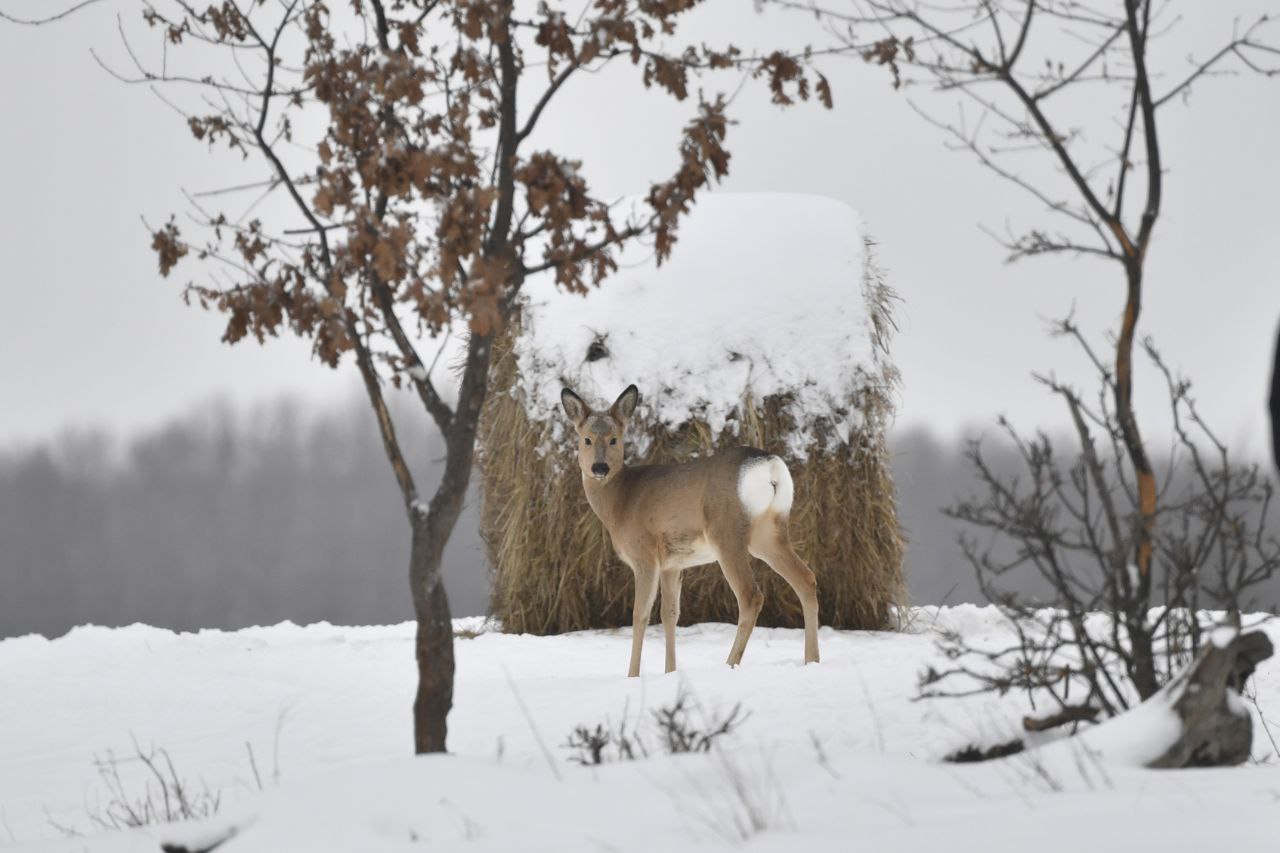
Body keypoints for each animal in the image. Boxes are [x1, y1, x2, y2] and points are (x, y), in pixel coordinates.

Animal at [560, 381, 819, 676]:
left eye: (614, 438)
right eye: (586, 439)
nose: (600, 467)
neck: (620, 501)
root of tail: (769, 466)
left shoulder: (644, 555)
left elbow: (640, 615)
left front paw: (632, 675)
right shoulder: (672, 564)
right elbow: (670, 615)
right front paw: (670, 672)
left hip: (726, 533)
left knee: (751, 595)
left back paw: (730, 663)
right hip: (769, 532)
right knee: (806, 579)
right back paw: (812, 660)